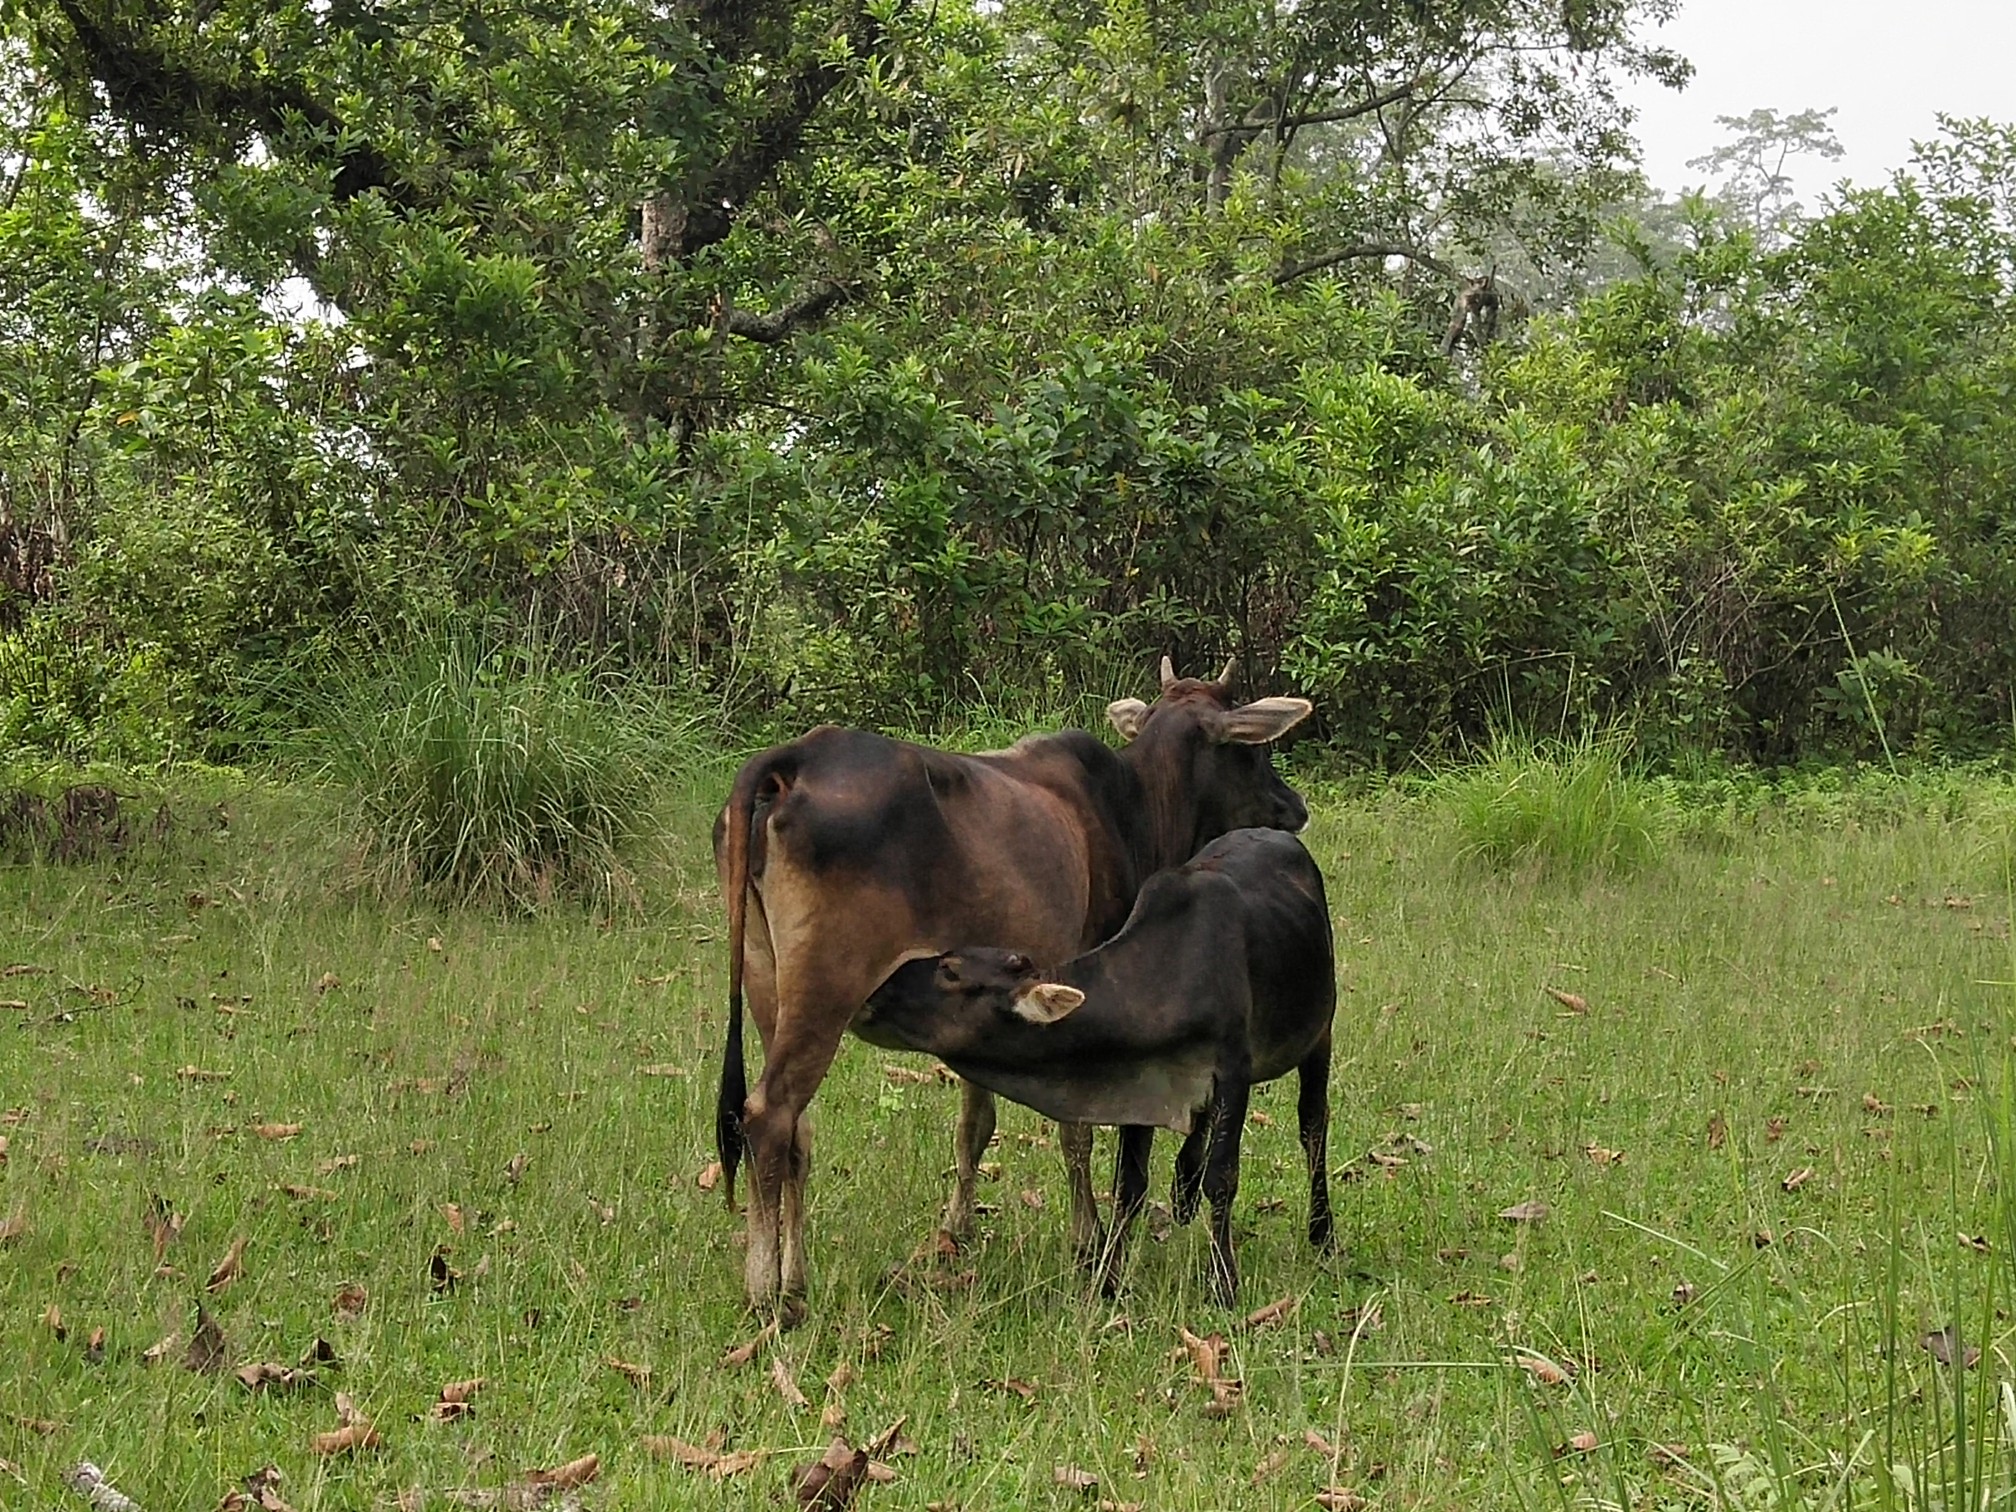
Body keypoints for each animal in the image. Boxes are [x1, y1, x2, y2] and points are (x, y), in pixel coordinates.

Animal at [717, 657, 1314, 1322]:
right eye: (1252, 752)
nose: (1294, 807)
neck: (1132, 804)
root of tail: (792, 762)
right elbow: (1077, 1128)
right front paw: (1087, 1240)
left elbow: (974, 1124)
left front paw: (957, 1229)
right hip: (826, 989)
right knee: (769, 1118)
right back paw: (767, 1290)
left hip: (768, 982)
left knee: (796, 1131)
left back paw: (795, 1279)